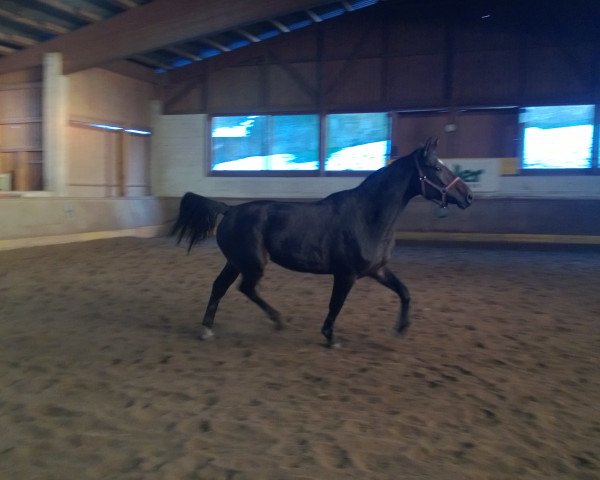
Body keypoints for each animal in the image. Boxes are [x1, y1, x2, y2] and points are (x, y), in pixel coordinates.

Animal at [171, 138, 472, 344]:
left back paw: (208, 328)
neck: (367, 216)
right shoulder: (346, 274)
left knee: (220, 287)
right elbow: (335, 305)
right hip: (252, 264)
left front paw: (401, 328)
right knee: (245, 288)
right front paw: (330, 336)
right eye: (436, 167)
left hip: (236, 262)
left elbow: (405, 292)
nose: (467, 195)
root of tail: (229, 209)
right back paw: (276, 320)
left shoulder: (377, 270)